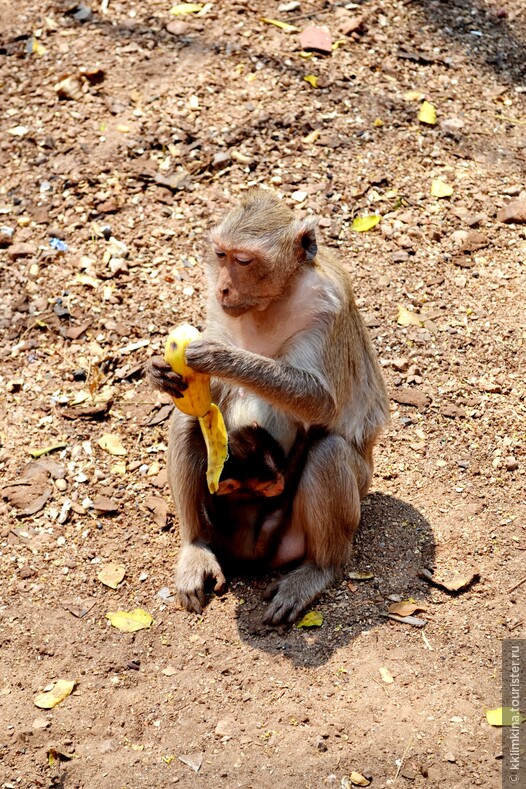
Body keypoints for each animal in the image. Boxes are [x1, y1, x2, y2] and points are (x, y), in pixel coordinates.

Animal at [148, 188, 392, 624]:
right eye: (222, 255)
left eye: (244, 261)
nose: (224, 289)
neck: (273, 301)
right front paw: (160, 373)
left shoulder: (327, 304)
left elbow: (322, 403)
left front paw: (220, 357)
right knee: (188, 422)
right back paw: (196, 547)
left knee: (328, 451)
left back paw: (319, 570)